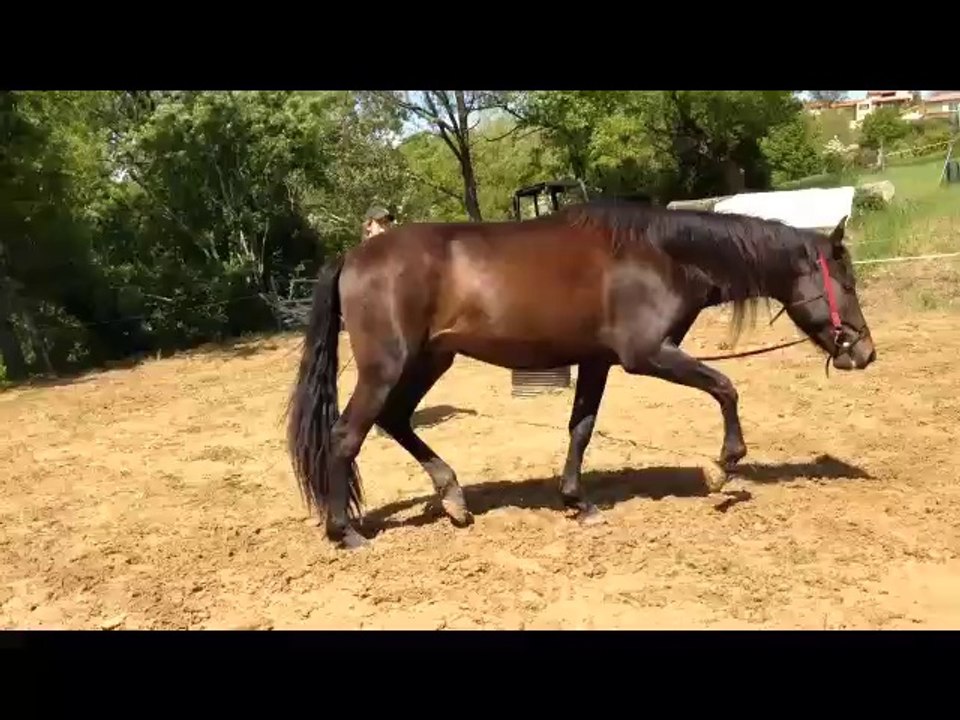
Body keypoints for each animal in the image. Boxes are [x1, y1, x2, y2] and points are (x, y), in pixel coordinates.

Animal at [286, 200, 877, 550]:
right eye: (845, 282)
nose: (865, 351)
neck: (661, 256)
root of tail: (353, 257)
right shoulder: (648, 354)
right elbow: (725, 387)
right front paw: (726, 465)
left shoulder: (597, 361)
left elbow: (581, 428)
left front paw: (577, 500)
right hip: (388, 366)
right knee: (346, 436)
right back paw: (346, 533)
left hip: (431, 360)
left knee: (395, 420)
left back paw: (453, 497)